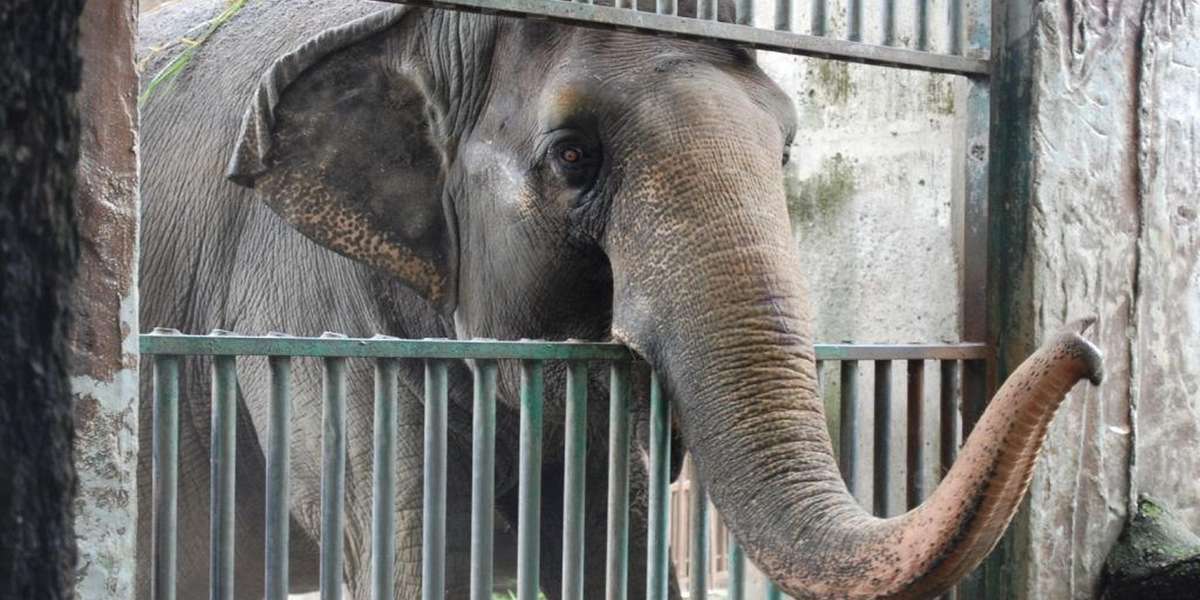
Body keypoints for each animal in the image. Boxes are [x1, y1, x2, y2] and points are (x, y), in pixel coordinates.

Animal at [136, 0, 1099, 597]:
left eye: (786, 150)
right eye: (572, 156)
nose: (1086, 345)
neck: (418, 31)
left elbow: (612, 537)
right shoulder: (302, 305)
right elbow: (419, 545)